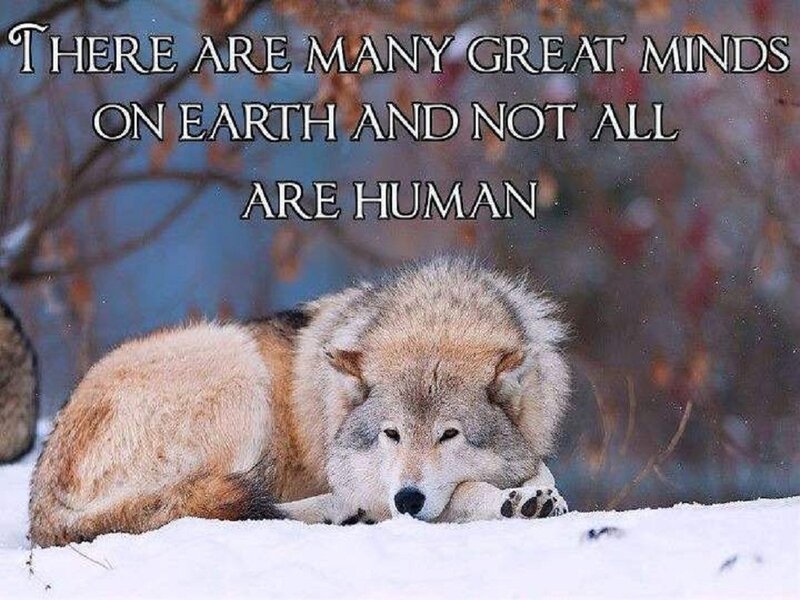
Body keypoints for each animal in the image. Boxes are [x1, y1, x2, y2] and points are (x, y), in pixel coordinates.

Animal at [29, 259, 570, 546]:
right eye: (391, 434)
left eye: (449, 434)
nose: (407, 498)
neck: (436, 318)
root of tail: (40, 504)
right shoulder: (374, 480)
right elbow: (463, 492)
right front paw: (510, 502)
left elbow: (540, 468)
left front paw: (538, 494)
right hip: (238, 369)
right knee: (204, 509)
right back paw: (342, 511)